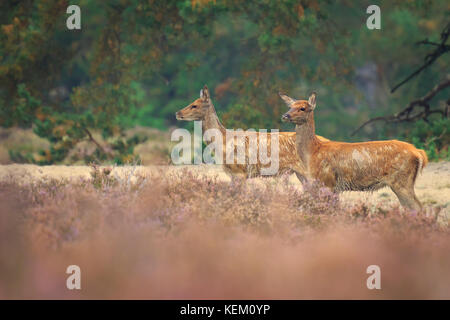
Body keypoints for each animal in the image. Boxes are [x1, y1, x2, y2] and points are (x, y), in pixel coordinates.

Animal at [278, 90, 428, 210]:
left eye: (303, 108)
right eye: (290, 106)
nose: (285, 115)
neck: (313, 152)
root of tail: (418, 152)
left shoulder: (328, 181)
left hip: (401, 180)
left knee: (417, 207)